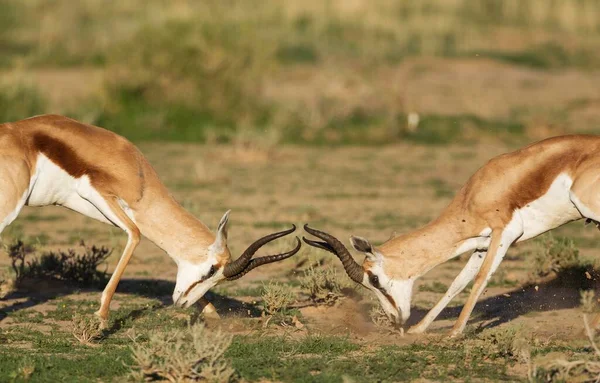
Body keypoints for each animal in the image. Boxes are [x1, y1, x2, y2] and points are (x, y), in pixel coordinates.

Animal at [0, 115, 300, 322]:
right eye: (211, 270)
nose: (182, 304)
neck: (139, 174)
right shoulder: (101, 195)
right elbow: (135, 235)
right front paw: (101, 319)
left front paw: (213, 316)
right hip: (10, 207)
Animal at [308, 135, 600, 336]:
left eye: (375, 279)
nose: (395, 320)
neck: (478, 192)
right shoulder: (481, 244)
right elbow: (457, 283)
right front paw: (419, 329)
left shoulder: (504, 232)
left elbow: (481, 279)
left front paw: (454, 333)